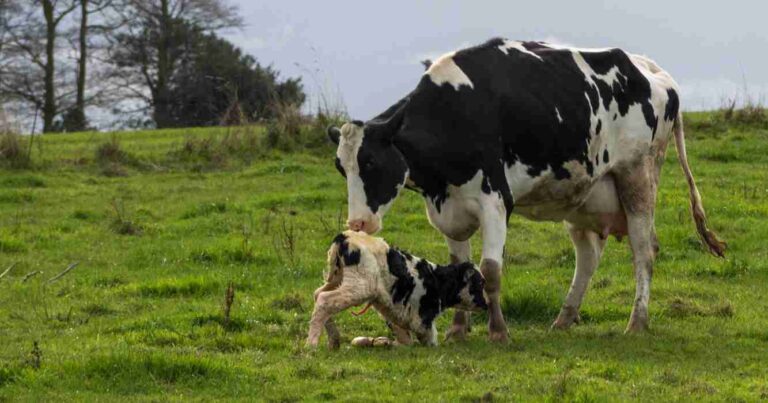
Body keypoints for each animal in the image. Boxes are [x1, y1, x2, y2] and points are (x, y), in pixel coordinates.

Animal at [306, 230, 486, 350]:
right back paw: (311, 344)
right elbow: (429, 340)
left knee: (318, 294)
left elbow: (405, 340)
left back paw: (333, 341)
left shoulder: (393, 311)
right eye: (480, 283)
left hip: (338, 279)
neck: (436, 279)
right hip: (359, 287)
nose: (486, 304)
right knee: (325, 299)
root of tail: (345, 237)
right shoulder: (423, 321)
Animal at [326, 38, 728, 342]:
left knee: (644, 251)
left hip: (638, 178)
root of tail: (651, 69)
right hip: (583, 194)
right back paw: (564, 318)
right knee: (588, 256)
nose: (358, 223)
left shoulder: (494, 201)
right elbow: (459, 267)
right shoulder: (449, 208)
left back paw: (636, 322)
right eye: (340, 167)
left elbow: (490, 271)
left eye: (372, 163)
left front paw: (498, 332)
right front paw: (458, 330)